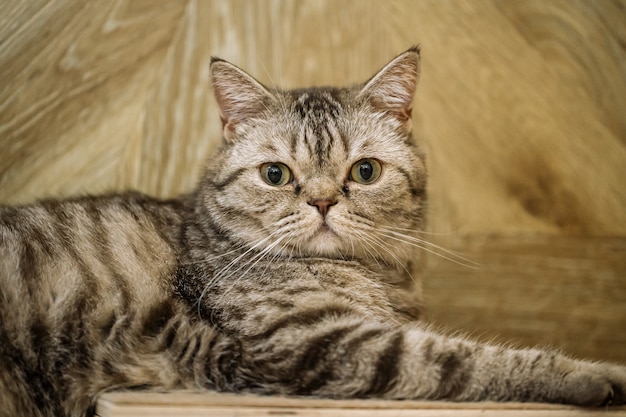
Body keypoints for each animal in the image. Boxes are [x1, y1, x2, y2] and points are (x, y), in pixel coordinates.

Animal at [1, 47, 624, 414]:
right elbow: (470, 358)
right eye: (276, 174)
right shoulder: (317, 341)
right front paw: (592, 374)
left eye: (365, 172)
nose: (323, 201)